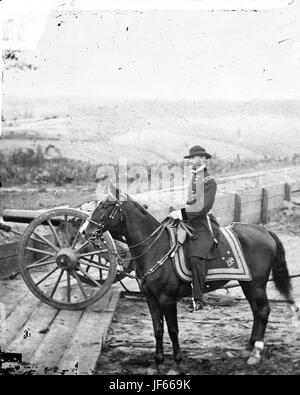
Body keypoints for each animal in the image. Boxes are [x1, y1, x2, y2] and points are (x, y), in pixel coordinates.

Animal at [83, 186, 298, 374]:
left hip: (257, 285)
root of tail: (265, 231)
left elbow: (173, 330)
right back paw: (248, 348)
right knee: (256, 312)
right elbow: (158, 329)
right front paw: (157, 363)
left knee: (263, 311)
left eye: (105, 206)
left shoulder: (167, 299)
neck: (156, 248)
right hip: (248, 284)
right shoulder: (151, 299)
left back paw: (256, 352)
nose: (85, 231)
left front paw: (176, 364)